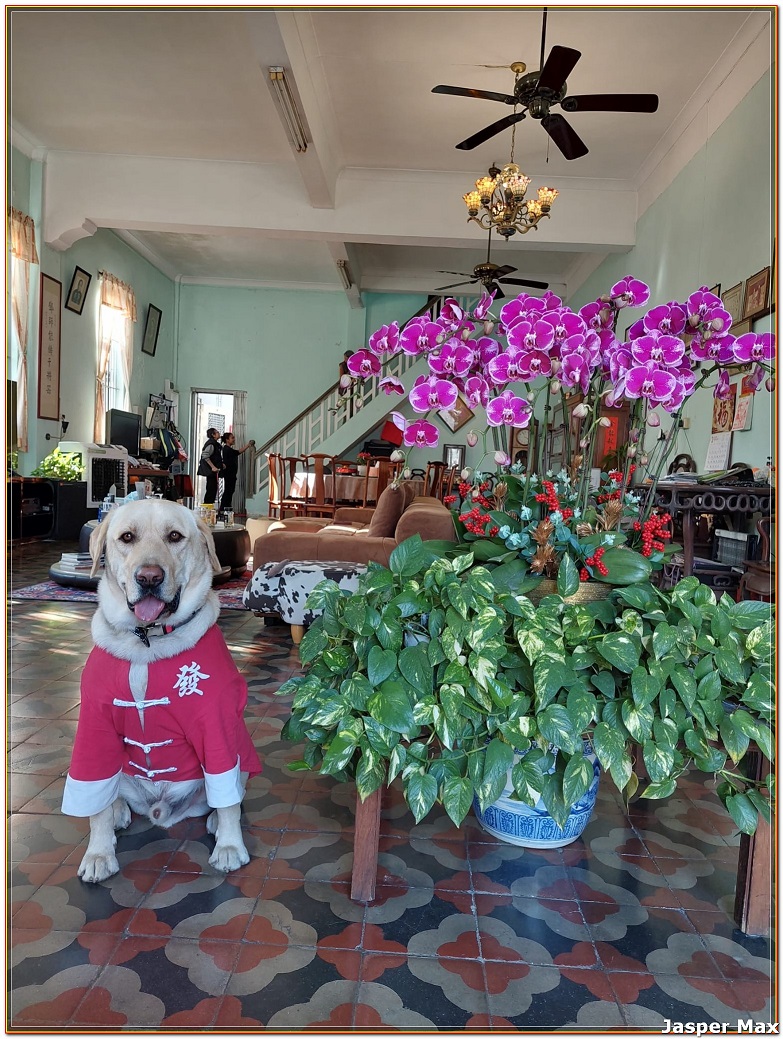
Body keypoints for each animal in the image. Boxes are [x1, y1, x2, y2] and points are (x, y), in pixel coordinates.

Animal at [61, 498, 261, 883]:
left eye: (175, 537)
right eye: (127, 537)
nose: (149, 577)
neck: (147, 641)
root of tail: (161, 810)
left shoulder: (216, 724)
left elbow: (227, 796)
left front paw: (230, 845)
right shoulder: (95, 724)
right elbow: (94, 807)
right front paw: (98, 852)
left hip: (241, 751)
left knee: (227, 793)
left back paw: (215, 820)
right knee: (109, 795)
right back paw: (118, 811)